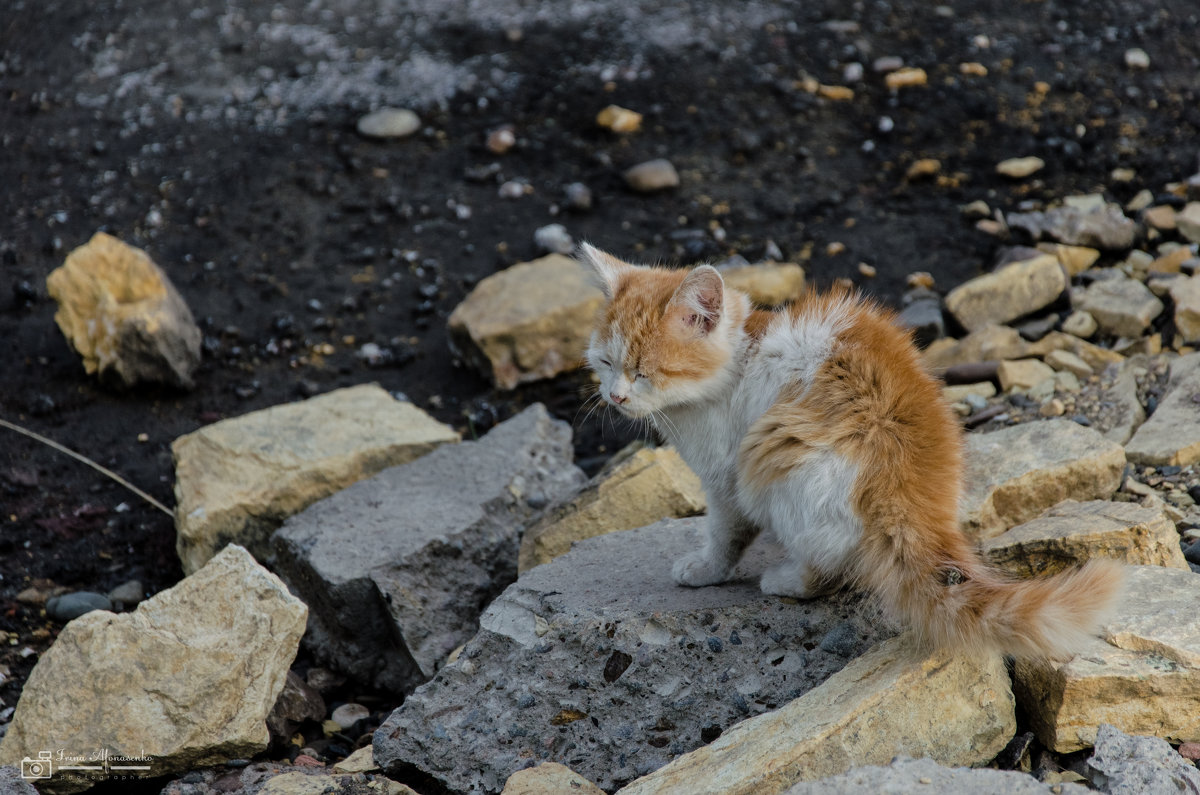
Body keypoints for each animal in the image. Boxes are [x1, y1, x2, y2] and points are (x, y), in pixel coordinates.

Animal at [580, 242, 1123, 658]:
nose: (616, 397)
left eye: (645, 372)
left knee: (827, 567)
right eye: (605, 362)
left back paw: (784, 578)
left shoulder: (726, 477)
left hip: (776, 466)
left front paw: (704, 570)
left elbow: (724, 534)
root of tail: (905, 486)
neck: (738, 361)